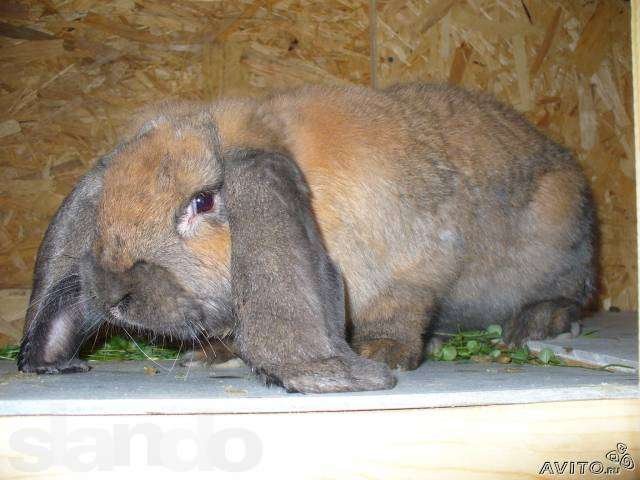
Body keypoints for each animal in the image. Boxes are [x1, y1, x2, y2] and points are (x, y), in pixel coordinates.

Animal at [16, 84, 596, 394]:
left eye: (203, 202)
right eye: (106, 203)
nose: (113, 296)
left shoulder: (420, 267)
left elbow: (401, 310)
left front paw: (380, 354)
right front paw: (213, 356)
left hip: (562, 237)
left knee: (568, 294)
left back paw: (536, 323)